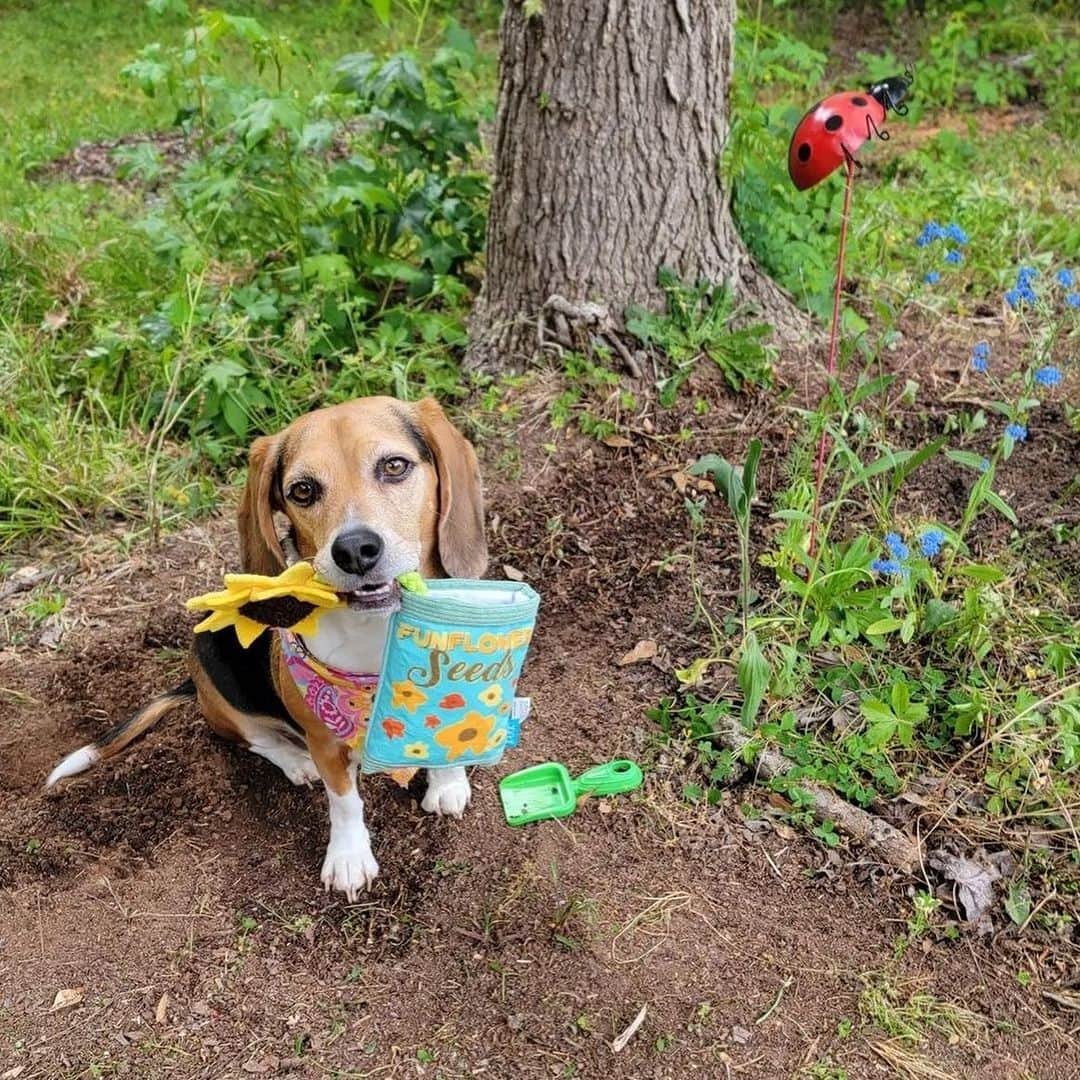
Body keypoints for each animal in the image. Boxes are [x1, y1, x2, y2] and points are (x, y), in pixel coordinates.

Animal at [46, 395, 486, 894]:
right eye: (303, 491)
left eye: (394, 466)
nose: (354, 550)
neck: (377, 632)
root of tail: (190, 681)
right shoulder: (325, 741)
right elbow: (344, 801)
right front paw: (349, 857)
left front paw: (446, 784)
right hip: (222, 693)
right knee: (259, 740)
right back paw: (295, 762)